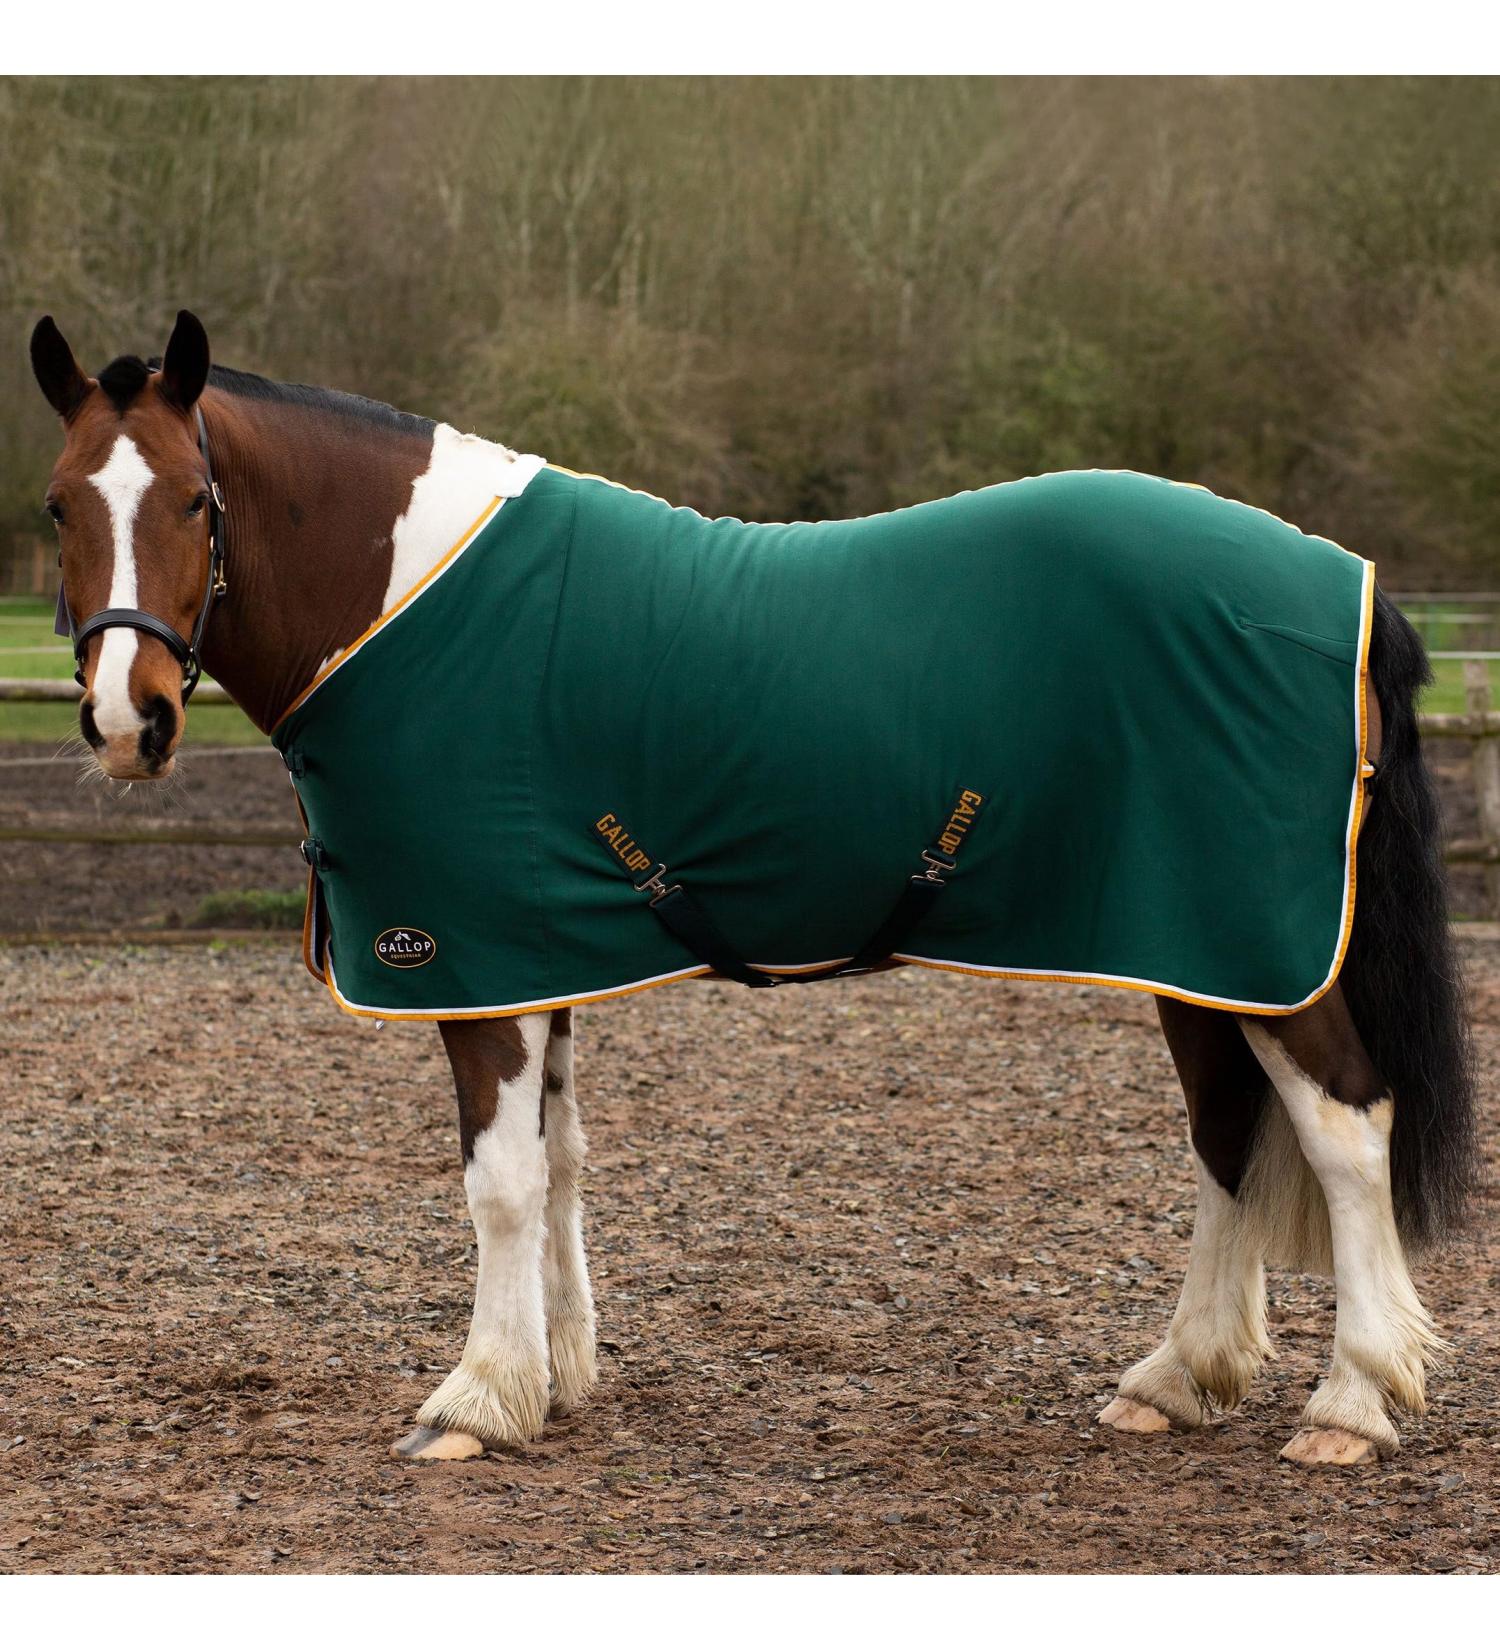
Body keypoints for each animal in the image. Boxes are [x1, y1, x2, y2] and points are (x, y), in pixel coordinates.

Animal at [30, 310, 1476, 1469]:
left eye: (194, 503)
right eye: (57, 505)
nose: (126, 720)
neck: (405, 600)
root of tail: (1341, 585)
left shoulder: (475, 959)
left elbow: (500, 1180)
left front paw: (479, 1399)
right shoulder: (544, 947)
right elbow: (562, 1161)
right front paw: (561, 1375)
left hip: (1258, 942)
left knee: (1345, 1128)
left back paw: (1352, 1403)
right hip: (1188, 943)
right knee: (1230, 1133)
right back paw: (1178, 1380)